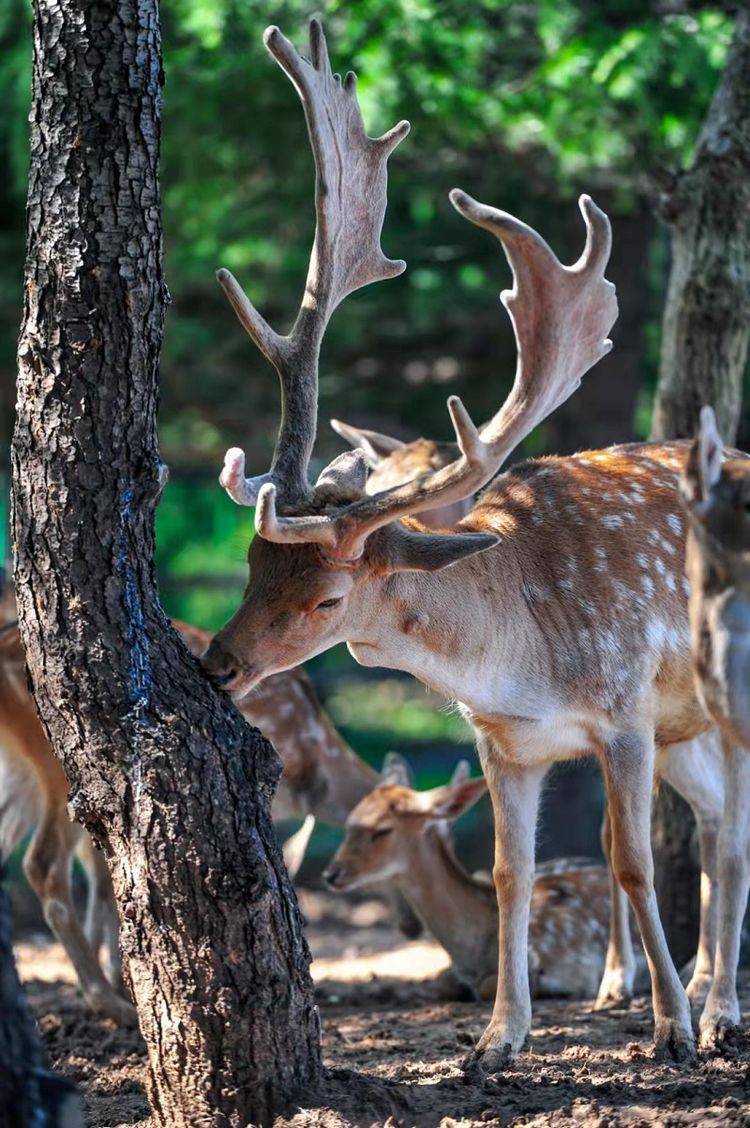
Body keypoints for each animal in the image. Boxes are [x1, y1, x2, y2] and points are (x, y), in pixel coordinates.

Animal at [203, 21, 744, 1069]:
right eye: (252, 565)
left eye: (328, 599)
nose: (218, 665)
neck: (520, 660)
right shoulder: (507, 745)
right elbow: (508, 874)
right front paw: (498, 1039)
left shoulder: (624, 711)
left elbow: (630, 865)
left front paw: (671, 1031)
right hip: (693, 730)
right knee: (723, 837)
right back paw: (718, 997)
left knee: (727, 841)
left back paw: (715, 1012)